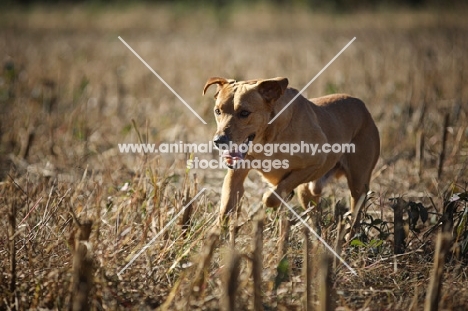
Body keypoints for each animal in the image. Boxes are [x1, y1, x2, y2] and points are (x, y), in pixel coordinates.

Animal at [204, 77, 380, 229]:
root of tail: (363, 107)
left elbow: (273, 195)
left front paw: (269, 199)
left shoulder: (316, 162)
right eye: (217, 111)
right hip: (307, 193)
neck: (268, 138)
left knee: (355, 214)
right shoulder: (236, 174)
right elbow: (226, 208)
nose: (219, 140)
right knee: (315, 214)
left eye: (244, 113)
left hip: (358, 183)